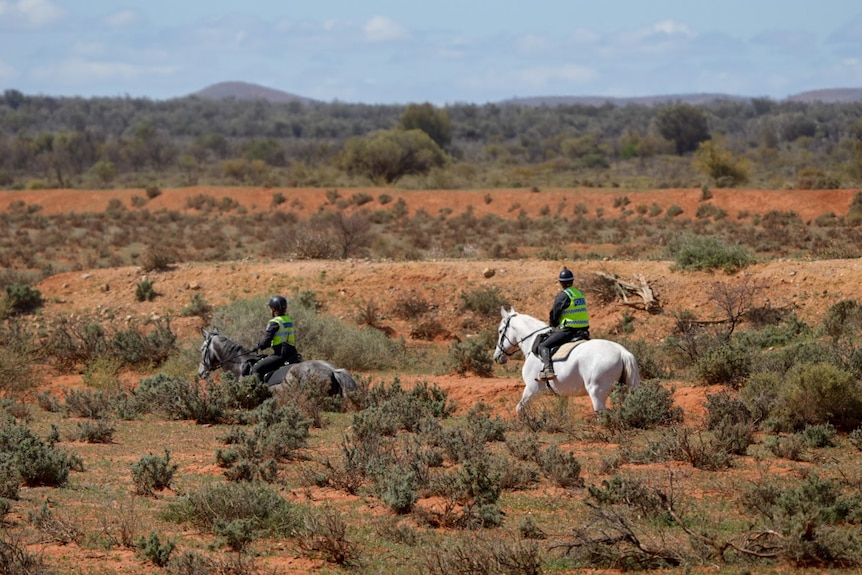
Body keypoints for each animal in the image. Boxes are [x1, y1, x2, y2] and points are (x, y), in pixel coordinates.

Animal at [493, 307, 640, 417]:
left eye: (500, 331)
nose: (497, 357)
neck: (533, 343)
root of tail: (622, 352)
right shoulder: (561, 393)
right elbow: (562, 412)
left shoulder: (531, 388)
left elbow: (520, 409)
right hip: (623, 391)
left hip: (596, 392)